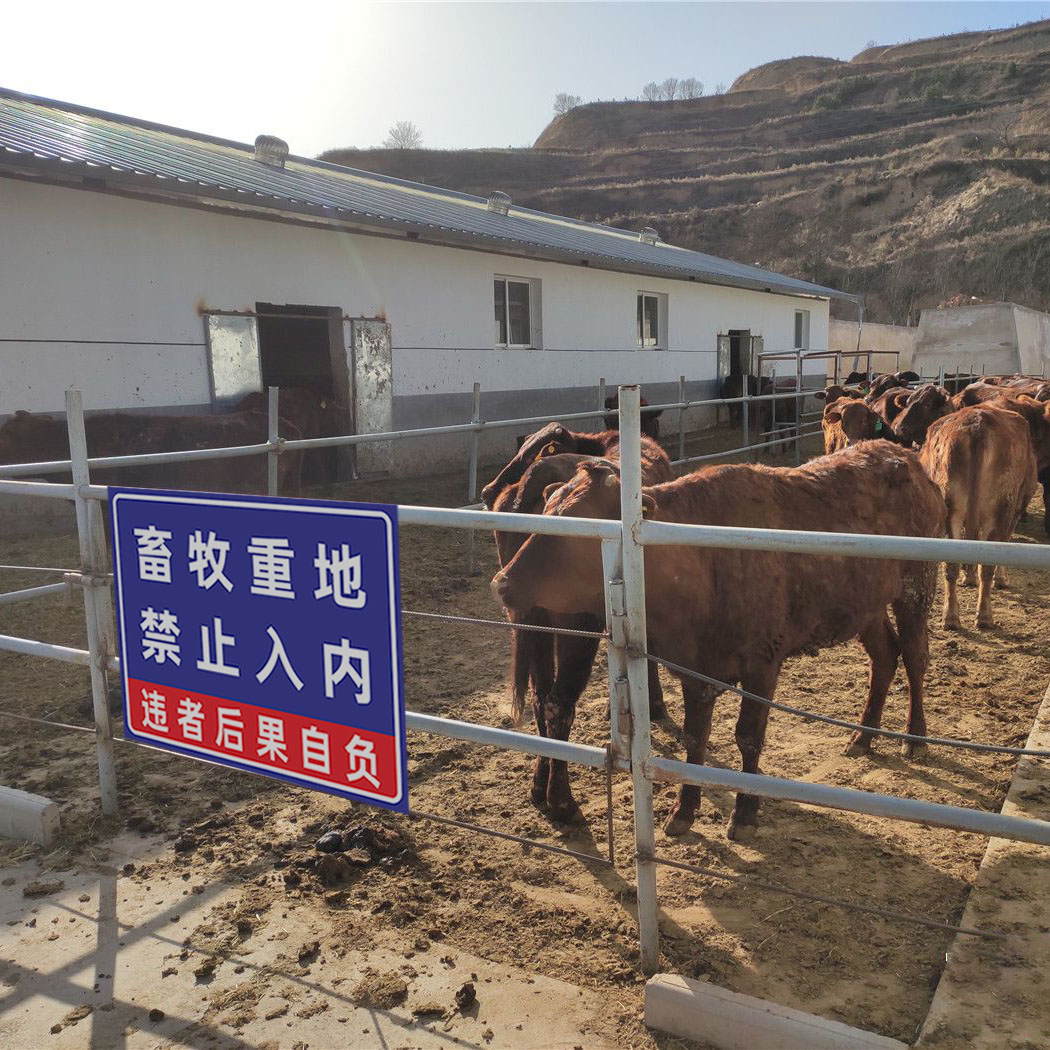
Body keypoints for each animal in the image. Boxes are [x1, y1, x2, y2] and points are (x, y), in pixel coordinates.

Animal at [491, 443, 944, 844]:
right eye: (547, 516)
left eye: (578, 527)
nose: (502, 583)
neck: (702, 566)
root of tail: (907, 459)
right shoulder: (695, 668)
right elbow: (697, 737)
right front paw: (683, 811)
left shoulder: (764, 664)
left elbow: (748, 736)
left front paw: (744, 814)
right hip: (867, 605)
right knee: (885, 656)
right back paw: (863, 737)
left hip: (917, 585)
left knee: (915, 656)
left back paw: (916, 738)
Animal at [919, 405, 1033, 625]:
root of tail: (977, 425)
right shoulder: (1014, 510)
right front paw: (1002, 578)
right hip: (999, 509)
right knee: (987, 563)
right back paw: (984, 616)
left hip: (951, 508)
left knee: (952, 564)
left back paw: (951, 617)